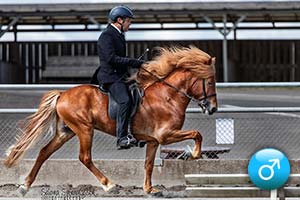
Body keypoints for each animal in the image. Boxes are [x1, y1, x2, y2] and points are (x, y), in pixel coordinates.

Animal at [3, 45, 217, 195]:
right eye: (210, 82)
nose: (213, 108)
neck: (168, 96)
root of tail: (63, 94)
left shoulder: (154, 141)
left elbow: (148, 164)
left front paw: (150, 190)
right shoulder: (165, 135)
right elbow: (197, 134)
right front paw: (194, 155)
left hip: (66, 131)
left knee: (44, 152)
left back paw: (24, 187)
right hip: (84, 129)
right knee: (85, 157)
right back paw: (109, 185)